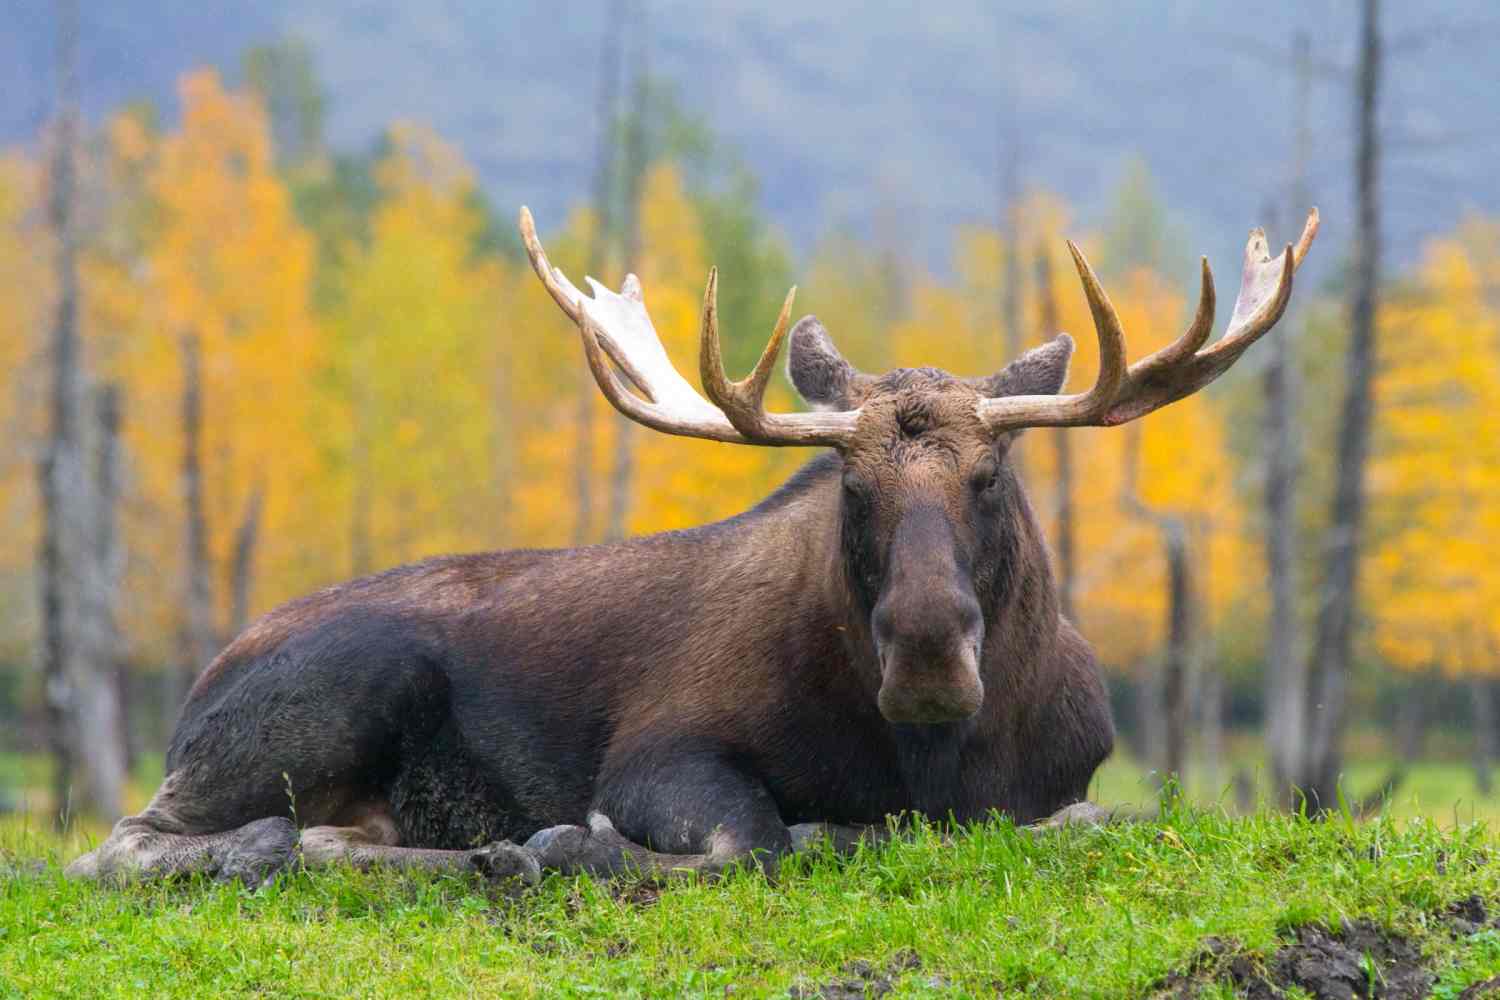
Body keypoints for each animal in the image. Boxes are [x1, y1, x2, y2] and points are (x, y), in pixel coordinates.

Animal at [70, 203, 1314, 881]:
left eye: (993, 471)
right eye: (850, 482)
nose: (924, 651)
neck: (930, 760)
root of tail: (195, 689)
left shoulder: (1068, 781)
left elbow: (1087, 820)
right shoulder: (658, 750)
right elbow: (753, 837)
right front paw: (571, 841)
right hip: (340, 687)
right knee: (122, 839)